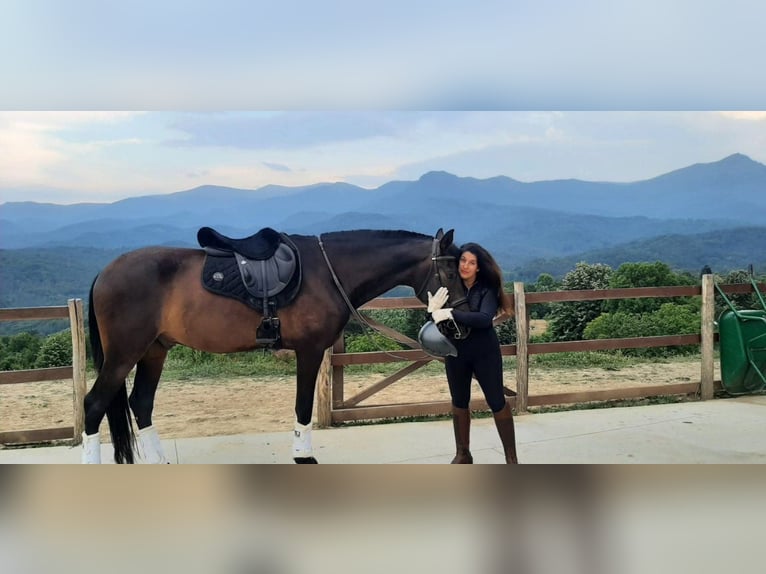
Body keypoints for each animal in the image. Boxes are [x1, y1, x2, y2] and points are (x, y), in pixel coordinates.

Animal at [83, 228, 465, 463]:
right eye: (450, 273)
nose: (456, 320)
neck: (326, 273)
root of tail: (105, 273)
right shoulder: (310, 350)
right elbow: (303, 406)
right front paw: (303, 455)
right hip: (123, 354)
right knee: (94, 404)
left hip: (154, 350)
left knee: (141, 403)